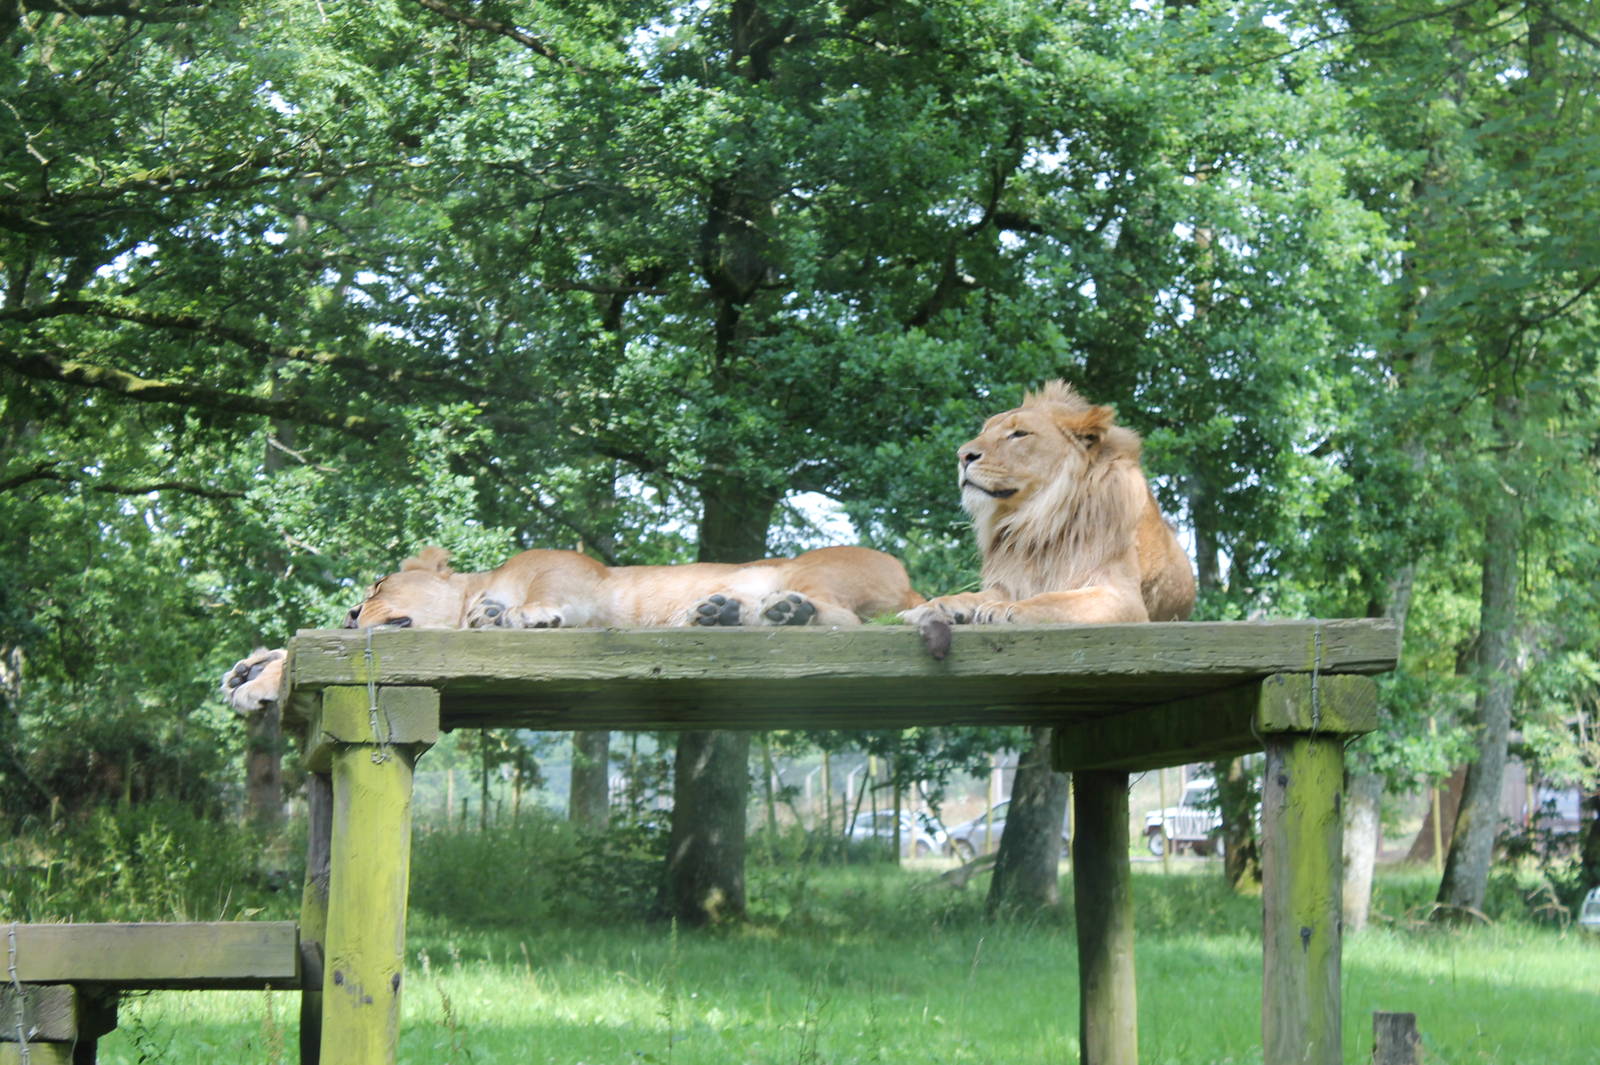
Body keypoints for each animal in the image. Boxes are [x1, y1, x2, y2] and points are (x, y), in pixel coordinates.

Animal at [902, 380, 1194, 630]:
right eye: (984, 431)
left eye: (1019, 434)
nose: (962, 455)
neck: (1038, 519)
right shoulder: (1009, 580)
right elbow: (969, 595)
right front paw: (931, 607)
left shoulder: (1123, 598)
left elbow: (1053, 599)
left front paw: (1003, 609)